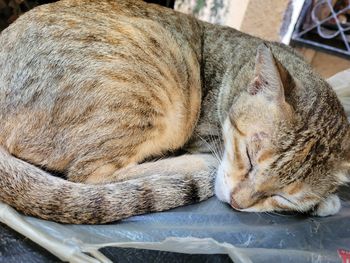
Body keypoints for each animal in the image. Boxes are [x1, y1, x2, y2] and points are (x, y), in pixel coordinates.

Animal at [0, 0, 350, 225]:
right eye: (250, 156)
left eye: (285, 196)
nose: (238, 202)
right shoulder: (205, 136)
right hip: (152, 83)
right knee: (90, 175)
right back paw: (194, 166)